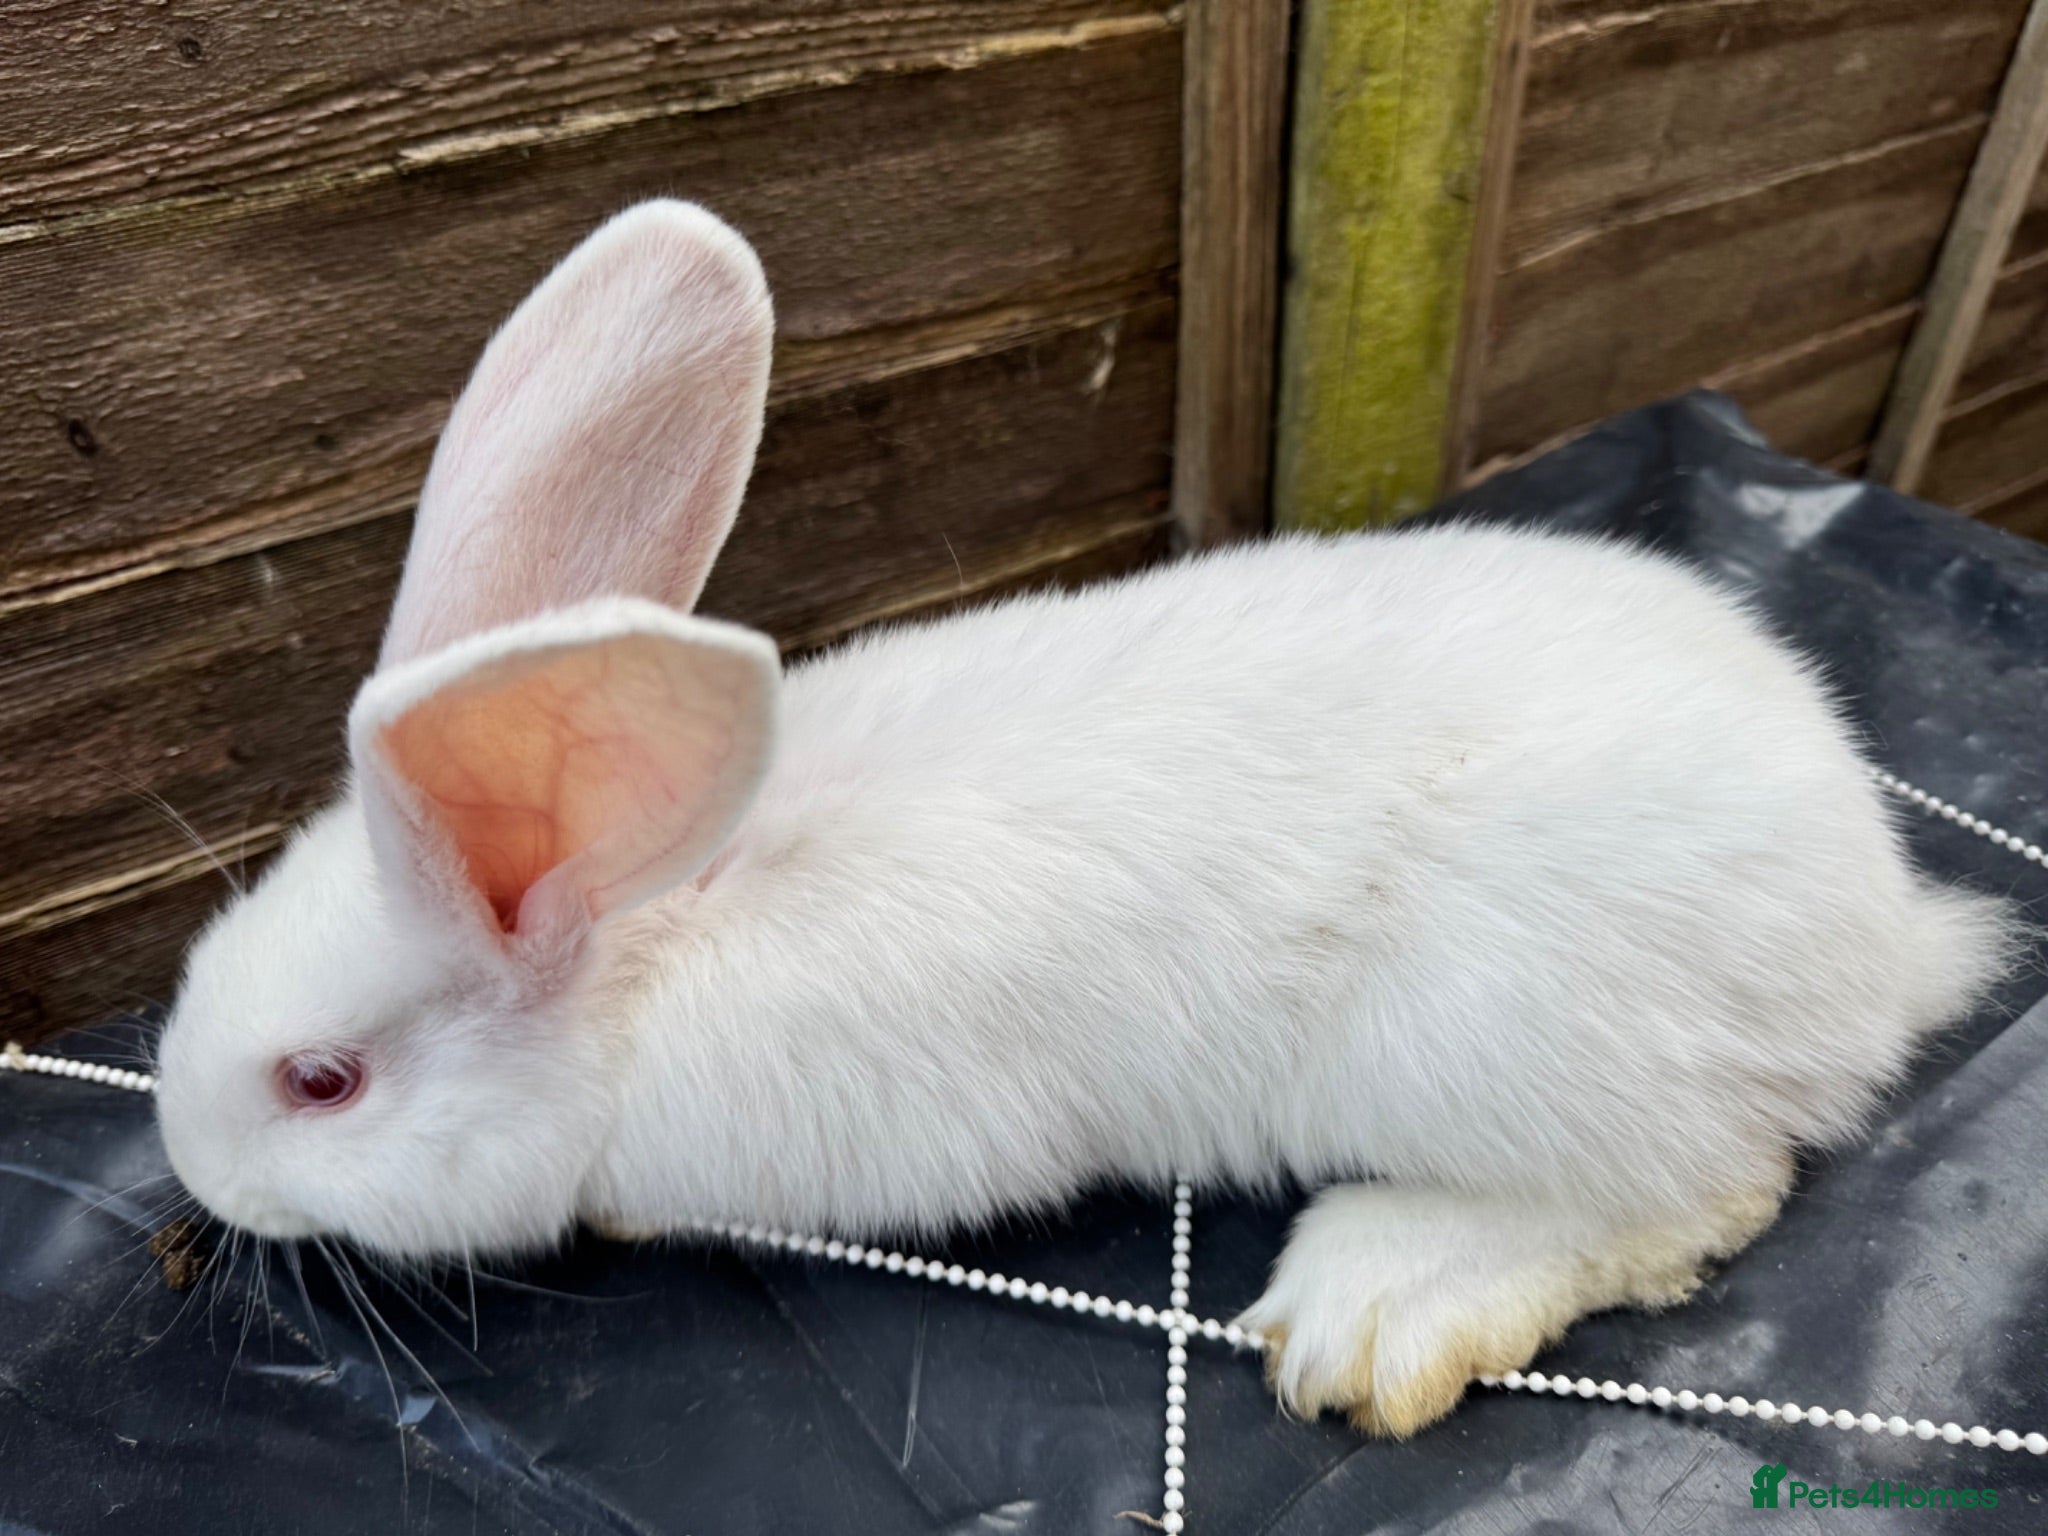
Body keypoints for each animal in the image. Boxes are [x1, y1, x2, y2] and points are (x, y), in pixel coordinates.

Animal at [153, 200, 2017, 1439]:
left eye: (321, 1084)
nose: (183, 1160)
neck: (655, 919)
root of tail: (1882, 937)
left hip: (1503, 1045)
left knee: (1706, 1188)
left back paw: (1378, 1313)